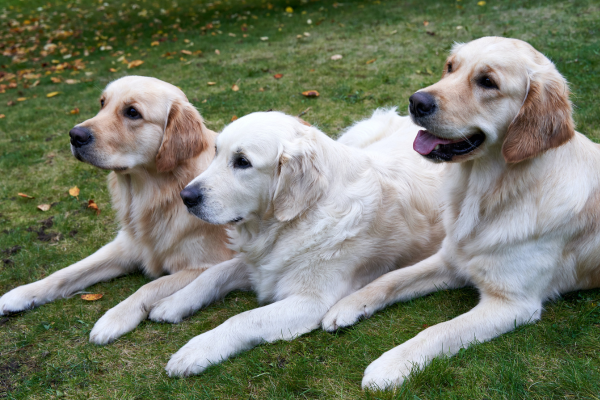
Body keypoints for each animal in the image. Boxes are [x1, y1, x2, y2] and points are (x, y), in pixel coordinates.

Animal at [149, 108, 450, 376]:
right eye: (216, 152)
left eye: (242, 161)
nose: (186, 196)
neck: (299, 216)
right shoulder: (261, 264)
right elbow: (212, 274)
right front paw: (173, 302)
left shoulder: (311, 301)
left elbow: (244, 318)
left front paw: (196, 350)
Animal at [322, 36, 600, 388]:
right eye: (450, 67)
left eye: (488, 82)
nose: (416, 101)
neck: (484, 193)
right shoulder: (452, 259)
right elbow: (389, 279)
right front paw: (347, 305)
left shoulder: (512, 303)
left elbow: (440, 330)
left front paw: (389, 365)